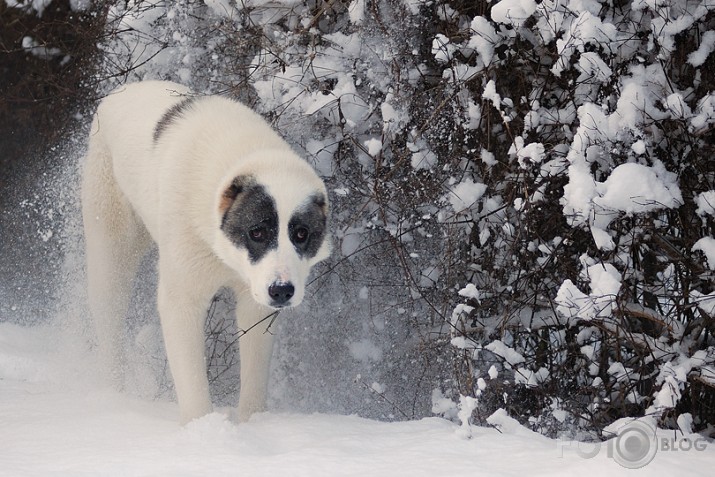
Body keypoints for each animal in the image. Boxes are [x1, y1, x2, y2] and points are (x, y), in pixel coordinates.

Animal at [82, 80, 332, 422]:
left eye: (301, 234)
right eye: (257, 232)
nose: (282, 290)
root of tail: (123, 89)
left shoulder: (255, 301)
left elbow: (254, 371)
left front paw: (253, 421)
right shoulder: (183, 298)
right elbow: (192, 378)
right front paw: (201, 426)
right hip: (111, 250)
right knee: (109, 316)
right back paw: (112, 392)